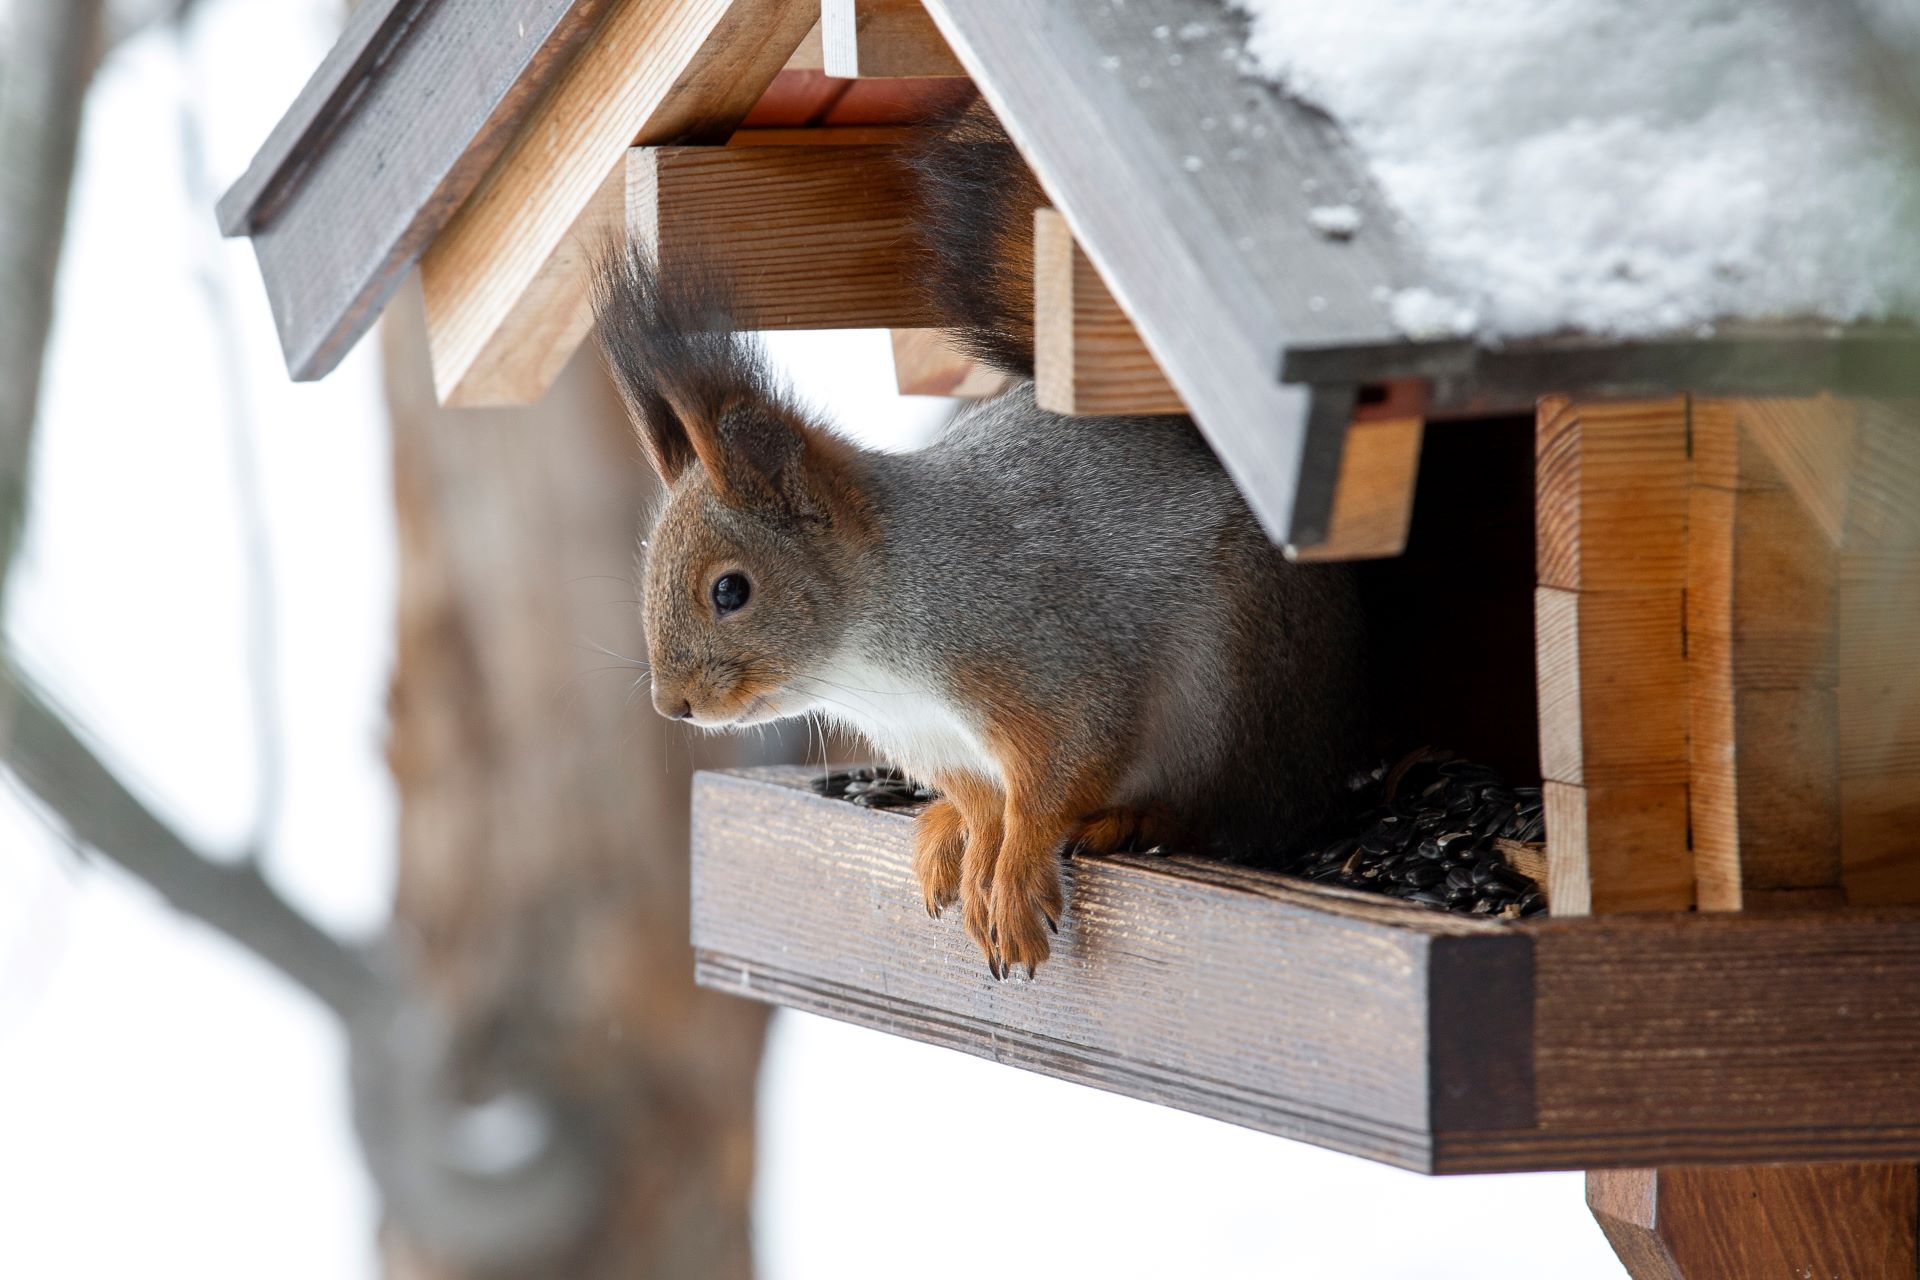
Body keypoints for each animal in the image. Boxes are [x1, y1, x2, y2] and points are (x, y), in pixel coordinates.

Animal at [591, 107, 1374, 982]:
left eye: (731, 589)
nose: (674, 705)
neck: (871, 664)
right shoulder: (939, 745)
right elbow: (986, 802)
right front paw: (975, 853)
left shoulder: (1045, 661)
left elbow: (1055, 780)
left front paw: (1018, 880)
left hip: (1234, 690)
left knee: (1238, 808)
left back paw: (1138, 819)